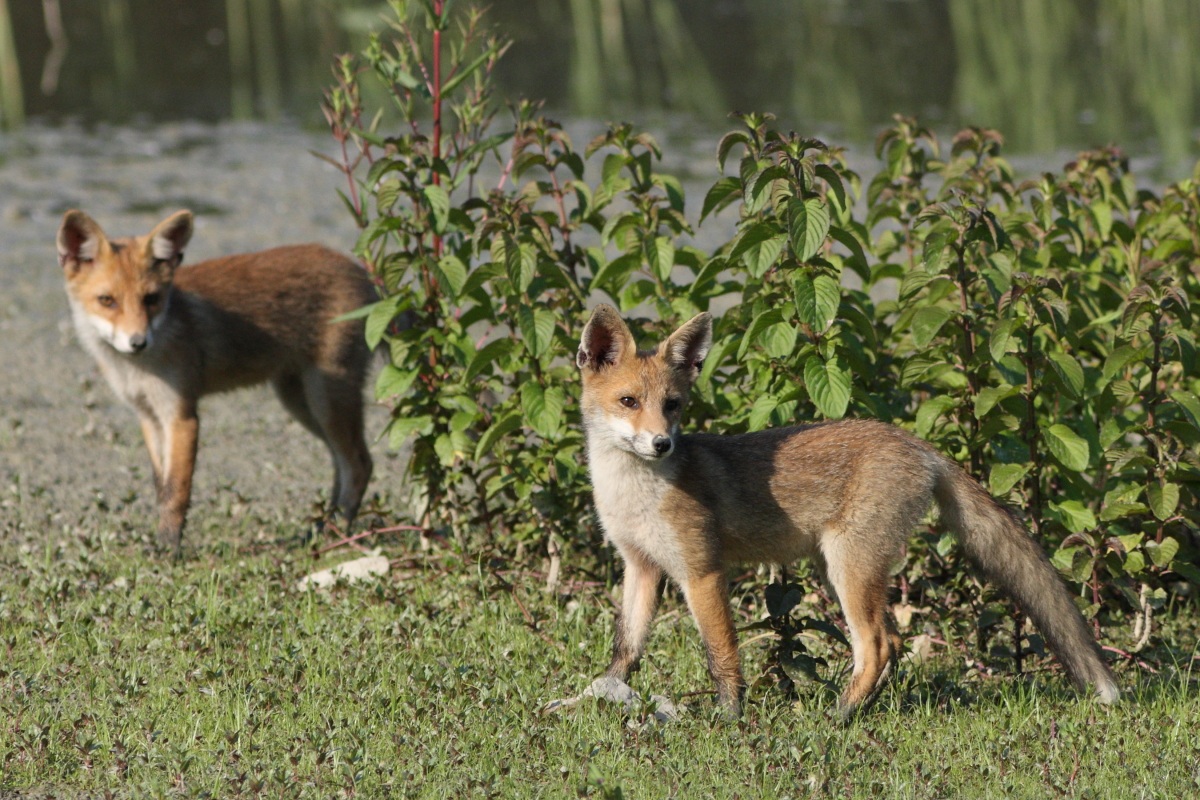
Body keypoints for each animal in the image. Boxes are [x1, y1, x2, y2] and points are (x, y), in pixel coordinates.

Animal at [56, 209, 376, 555]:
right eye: (107, 300)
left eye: (151, 299)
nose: (138, 342)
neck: (137, 367)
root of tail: (360, 272)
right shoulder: (149, 415)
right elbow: (161, 487)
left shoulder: (181, 415)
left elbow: (176, 492)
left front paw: (168, 551)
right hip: (300, 403)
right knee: (340, 464)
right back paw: (323, 529)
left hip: (325, 400)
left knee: (360, 464)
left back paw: (336, 534)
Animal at [576, 303, 1119, 719]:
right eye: (629, 401)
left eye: (672, 404)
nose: (662, 444)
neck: (634, 494)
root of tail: (918, 444)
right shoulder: (641, 567)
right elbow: (627, 647)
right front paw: (598, 693)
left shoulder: (702, 571)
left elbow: (721, 654)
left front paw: (729, 719)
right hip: (837, 565)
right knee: (892, 642)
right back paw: (859, 708)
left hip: (847, 566)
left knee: (877, 644)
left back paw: (838, 716)